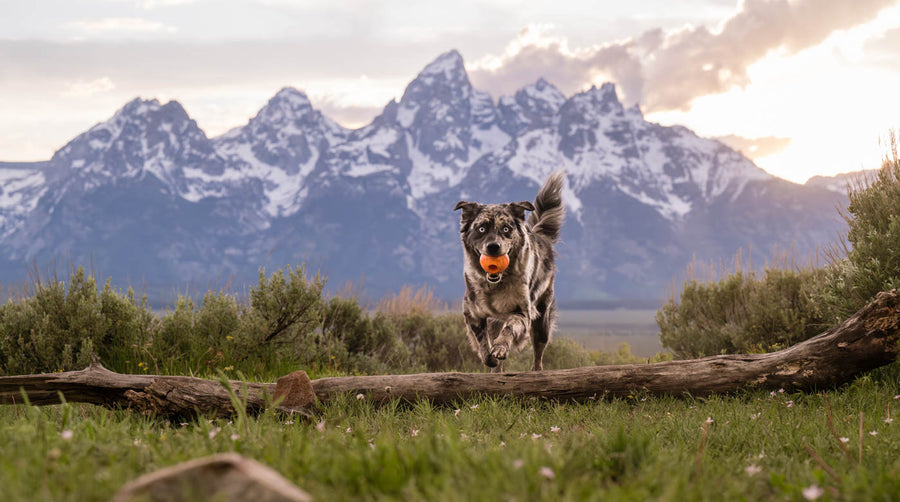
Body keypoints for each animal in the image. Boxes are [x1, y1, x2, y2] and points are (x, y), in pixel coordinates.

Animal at [454, 173, 568, 372]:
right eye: (481, 228)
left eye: (506, 229)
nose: (493, 247)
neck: (494, 285)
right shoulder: (473, 313)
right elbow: (482, 341)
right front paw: (489, 357)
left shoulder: (521, 312)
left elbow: (509, 328)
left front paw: (500, 348)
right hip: (495, 322)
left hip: (542, 320)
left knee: (538, 352)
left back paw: (536, 370)